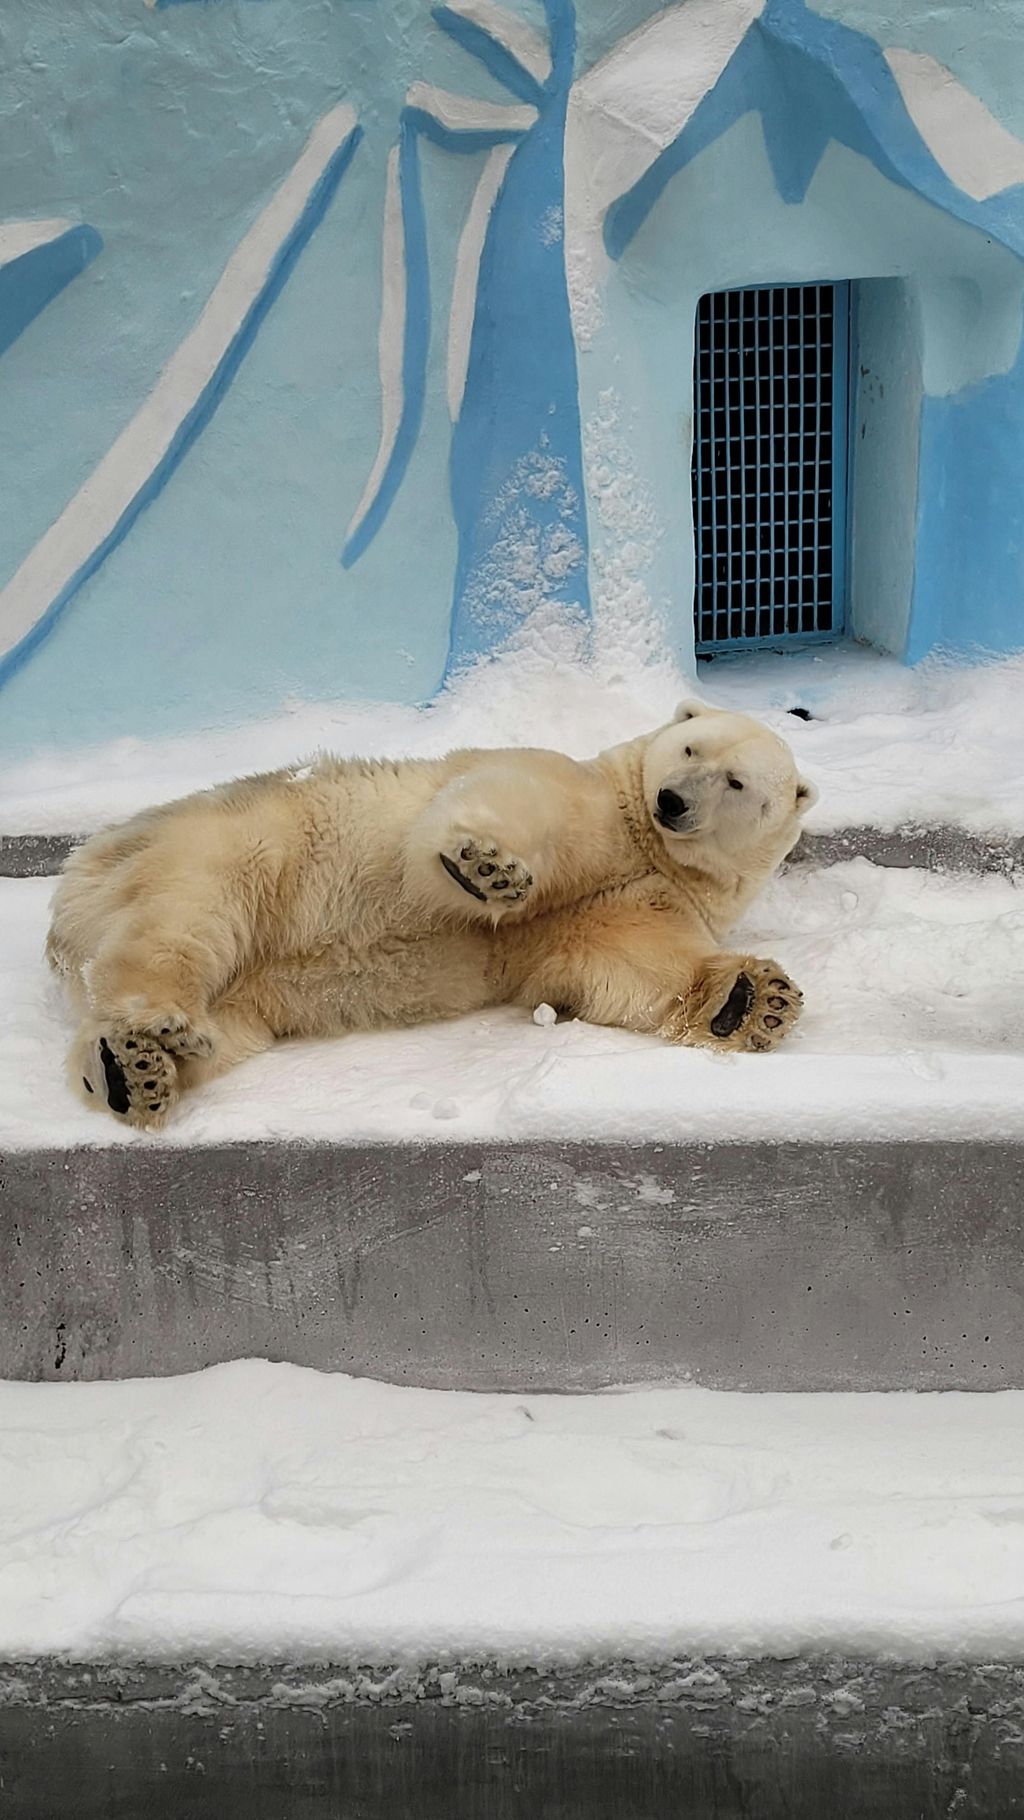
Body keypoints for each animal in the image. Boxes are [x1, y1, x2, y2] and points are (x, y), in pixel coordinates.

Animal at [47, 700, 817, 1128]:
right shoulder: (591, 796)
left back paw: (130, 1071)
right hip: (236, 843)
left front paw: (752, 1000)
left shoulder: (643, 897)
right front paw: (486, 867)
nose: (673, 800)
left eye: (736, 781)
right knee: (184, 918)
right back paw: (158, 1025)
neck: (648, 842)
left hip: (250, 985)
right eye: (688, 748)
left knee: (227, 1018)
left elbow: (626, 955)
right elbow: (520, 799)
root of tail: (79, 876)